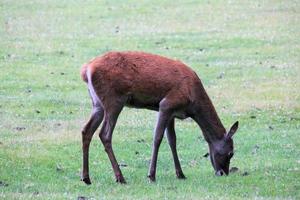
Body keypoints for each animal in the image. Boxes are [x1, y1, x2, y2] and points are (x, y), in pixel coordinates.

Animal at [79, 51, 239, 184]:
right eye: (231, 153)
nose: (223, 173)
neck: (193, 101)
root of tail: (86, 70)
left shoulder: (173, 112)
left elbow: (172, 140)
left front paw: (180, 174)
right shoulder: (167, 104)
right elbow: (158, 138)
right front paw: (151, 175)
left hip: (97, 103)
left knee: (86, 130)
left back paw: (86, 178)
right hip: (114, 100)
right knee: (104, 134)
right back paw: (120, 177)